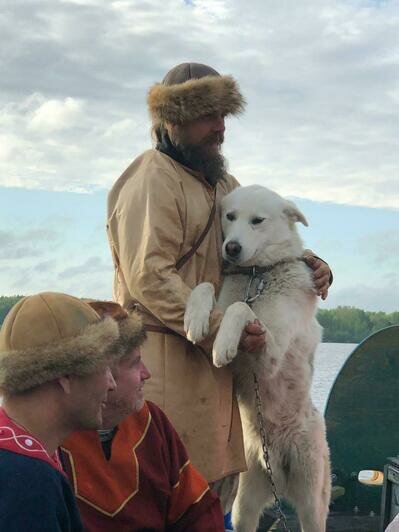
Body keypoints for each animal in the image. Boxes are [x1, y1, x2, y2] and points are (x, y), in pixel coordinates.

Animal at [184, 185, 332, 528]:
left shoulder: (271, 355)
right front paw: (196, 319)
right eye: (230, 216)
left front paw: (223, 343)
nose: (232, 248)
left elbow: (241, 308)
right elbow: (205, 286)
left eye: (257, 221)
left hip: (312, 505)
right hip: (244, 506)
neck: (257, 275)